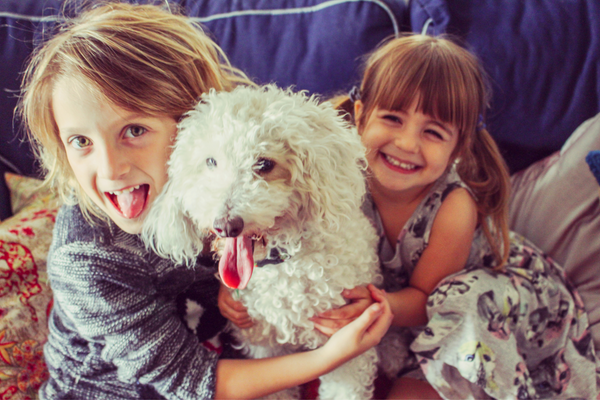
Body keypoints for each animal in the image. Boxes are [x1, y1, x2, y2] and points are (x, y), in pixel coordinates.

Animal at [143, 85, 382, 400]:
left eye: (265, 164)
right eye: (210, 162)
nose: (226, 226)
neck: (283, 265)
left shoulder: (348, 351)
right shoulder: (266, 348)